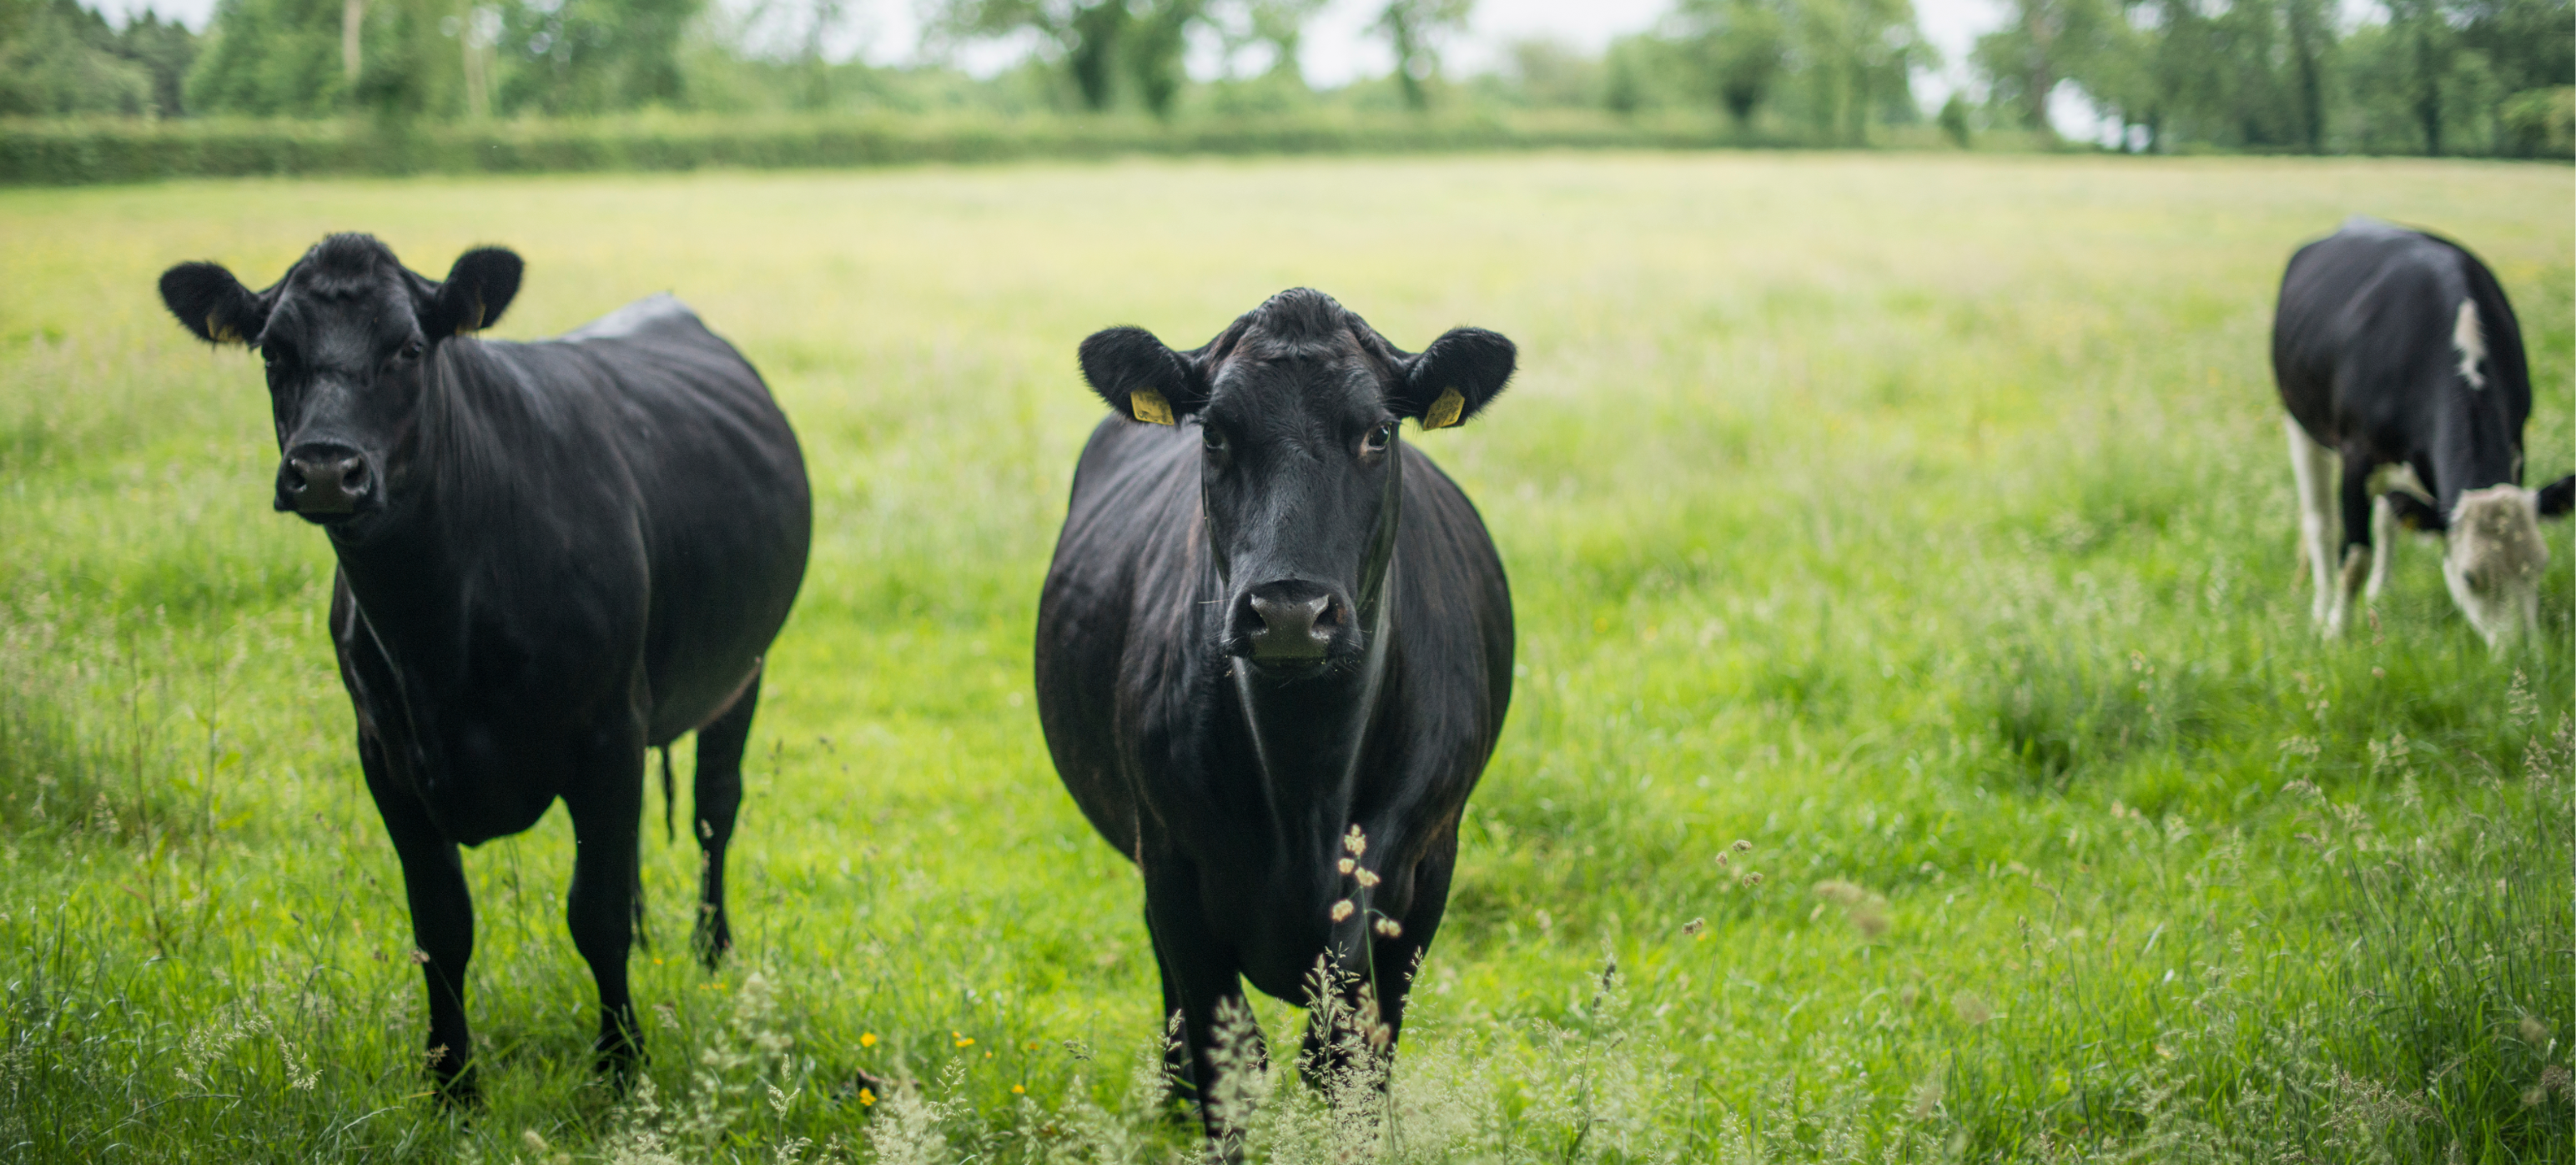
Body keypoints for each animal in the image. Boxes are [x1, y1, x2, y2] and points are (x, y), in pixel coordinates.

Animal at [155, 235, 808, 1092]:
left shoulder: (607, 731)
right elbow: (442, 926)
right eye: (273, 352)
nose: (326, 469)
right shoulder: (385, 754)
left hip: (741, 673)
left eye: (408, 347)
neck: (438, 632)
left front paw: (622, 1065)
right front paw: (451, 1084)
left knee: (713, 810)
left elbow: (593, 914)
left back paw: (712, 952)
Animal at [1025, 288, 1504, 1139]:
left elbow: (1353, 1064)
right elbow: (1231, 1064)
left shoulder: (1425, 869)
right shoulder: (1174, 865)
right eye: (1215, 431)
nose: (1288, 612)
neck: (1306, 777)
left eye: (1378, 432)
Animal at [2277, 219, 2576, 647]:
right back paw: (2321, 609)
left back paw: (2380, 594)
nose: (2521, 652)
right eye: (2469, 578)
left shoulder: (2516, 443)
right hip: (2299, 423)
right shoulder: (2357, 456)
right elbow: (2355, 558)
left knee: (2388, 517)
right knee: (2320, 523)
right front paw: (2336, 633)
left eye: (2540, 565)